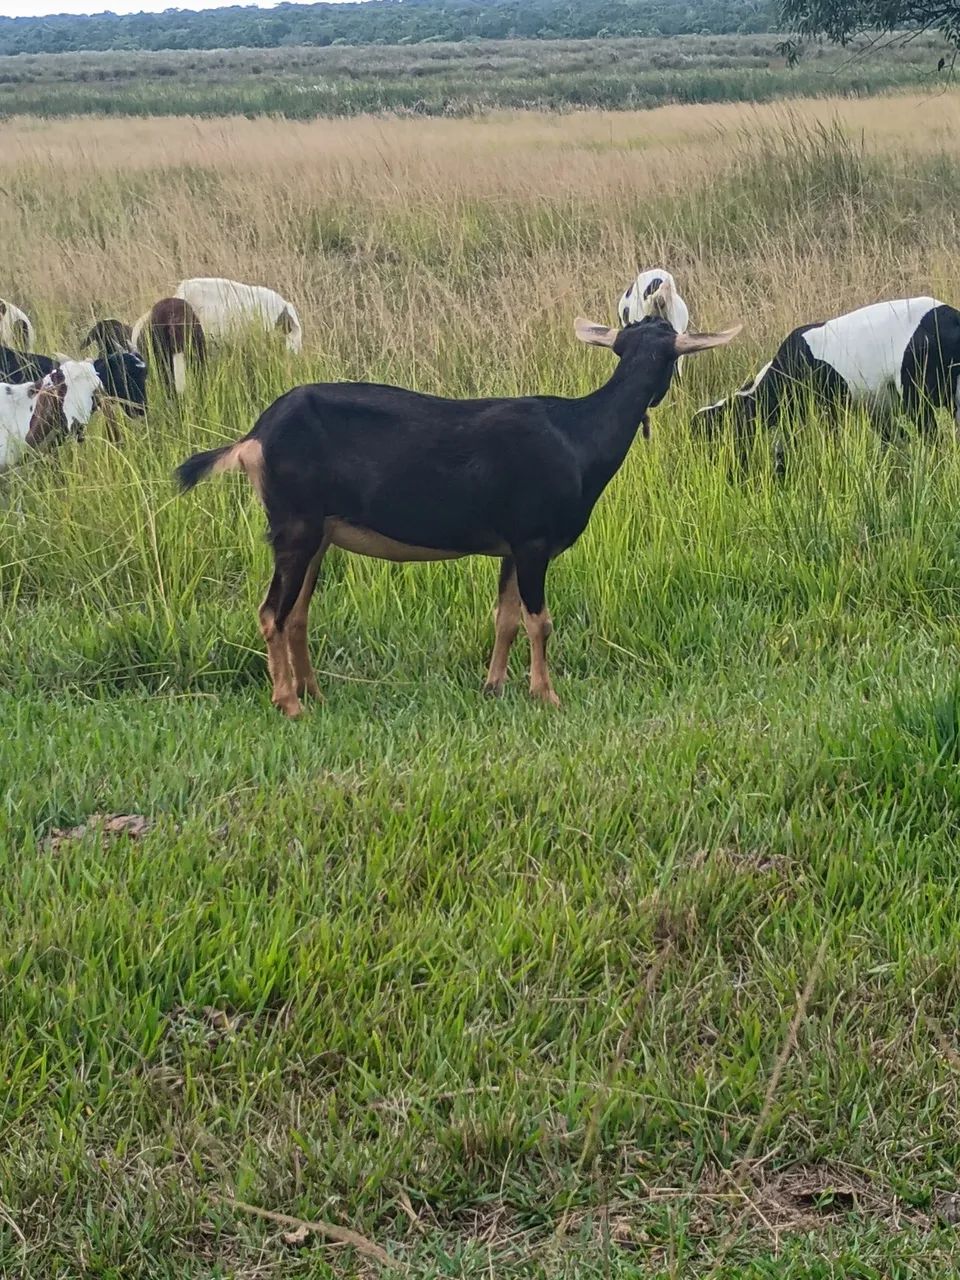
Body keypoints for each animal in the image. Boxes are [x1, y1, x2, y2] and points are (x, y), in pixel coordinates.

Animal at [175, 314, 739, 717]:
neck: (577, 434)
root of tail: (256, 435)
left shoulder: (511, 545)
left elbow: (505, 618)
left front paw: (493, 686)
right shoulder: (533, 541)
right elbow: (540, 622)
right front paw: (547, 696)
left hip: (317, 534)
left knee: (297, 613)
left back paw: (314, 693)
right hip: (295, 526)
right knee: (272, 612)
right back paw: (289, 704)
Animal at [695, 297, 960, 466]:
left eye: (714, 431)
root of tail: (952, 317)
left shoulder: (827, 409)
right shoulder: (876, 411)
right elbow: (895, 438)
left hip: (917, 395)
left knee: (933, 437)